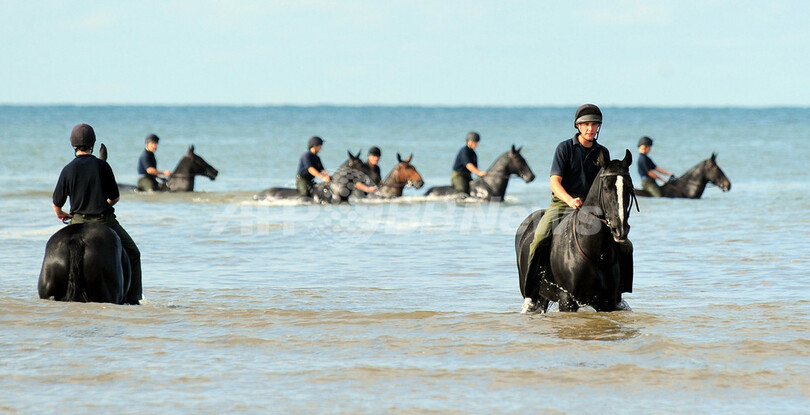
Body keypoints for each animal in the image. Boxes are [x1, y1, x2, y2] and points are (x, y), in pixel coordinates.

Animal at [515, 150, 638, 312]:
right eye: (606, 188)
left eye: (629, 188)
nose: (620, 229)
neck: (596, 254)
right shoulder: (567, 300)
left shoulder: (607, 303)